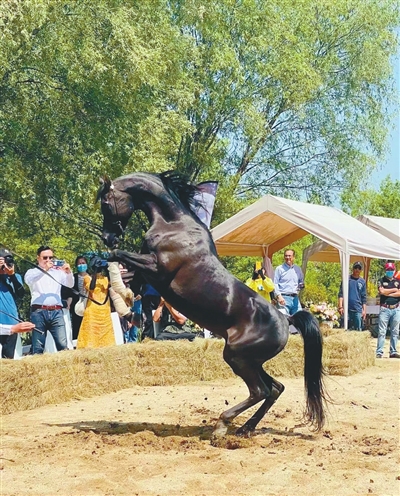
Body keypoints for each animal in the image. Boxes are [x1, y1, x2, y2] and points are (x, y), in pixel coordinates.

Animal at [98, 171, 326, 438]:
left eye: (106, 203)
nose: (108, 238)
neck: (174, 226)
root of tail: (286, 319)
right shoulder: (147, 273)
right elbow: (128, 279)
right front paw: (124, 303)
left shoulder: (156, 267)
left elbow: (118, 257)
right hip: (251, 360)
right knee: (275, 388)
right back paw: (245, 429)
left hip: (237, 356)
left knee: (260, 391)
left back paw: (222, 425)